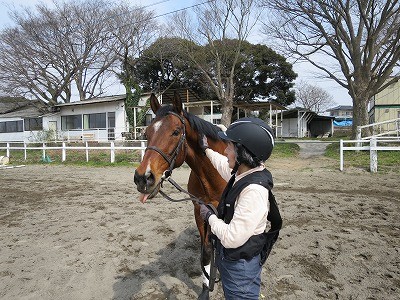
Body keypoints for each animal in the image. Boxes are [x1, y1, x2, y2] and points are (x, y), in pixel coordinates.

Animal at [134, 92, 227, 298]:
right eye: (147, 133)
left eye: (176, 132)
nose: (143, 178)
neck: (216, 171)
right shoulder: (200, 210)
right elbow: (206, 251)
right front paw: (206, 289)